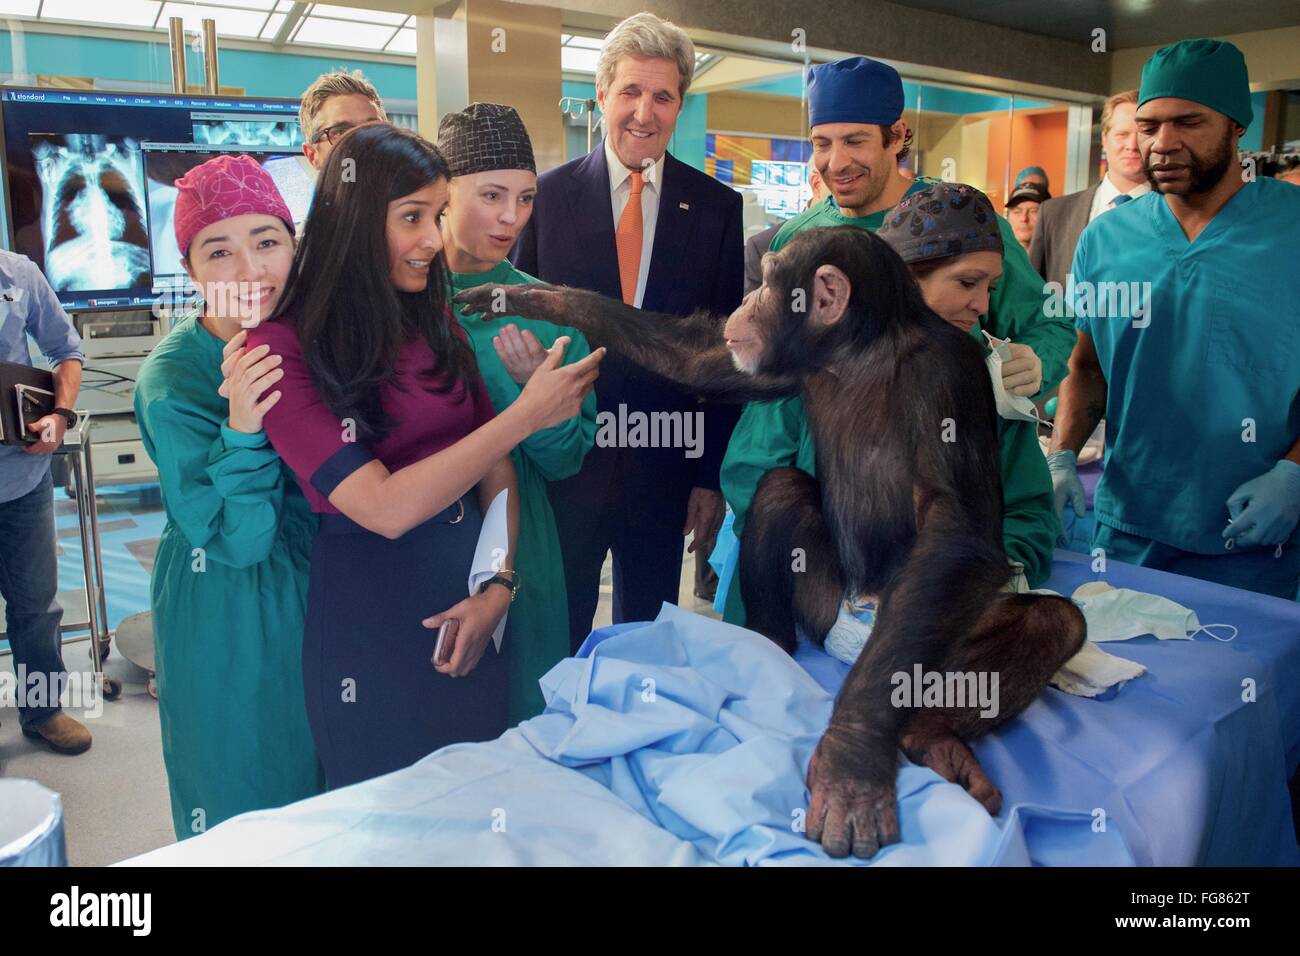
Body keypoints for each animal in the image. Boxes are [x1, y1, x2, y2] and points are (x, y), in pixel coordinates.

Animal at [457, 227, 1086, 863]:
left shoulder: (946, 378)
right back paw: (765, 646)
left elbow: (955, 531)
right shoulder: (777, 365)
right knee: (780, 488)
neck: (856, 353)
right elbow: (690, 357)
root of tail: (850, 640)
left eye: (768, 280)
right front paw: (516, 297)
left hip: (907, 637)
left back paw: (931, 734)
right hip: (823, 607)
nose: (747, 297)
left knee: (1051, 623)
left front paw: (852, 760)